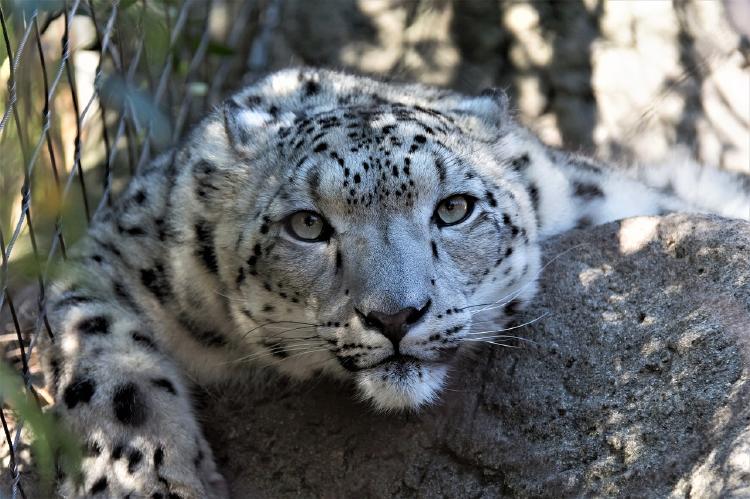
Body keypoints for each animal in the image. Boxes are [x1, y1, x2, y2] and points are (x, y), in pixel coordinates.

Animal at [40, 67, 750, 497]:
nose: (395, 316)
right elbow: (107, 368)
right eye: (307, 224)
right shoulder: (112, 257)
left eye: (455, 208)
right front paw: (140, 482)